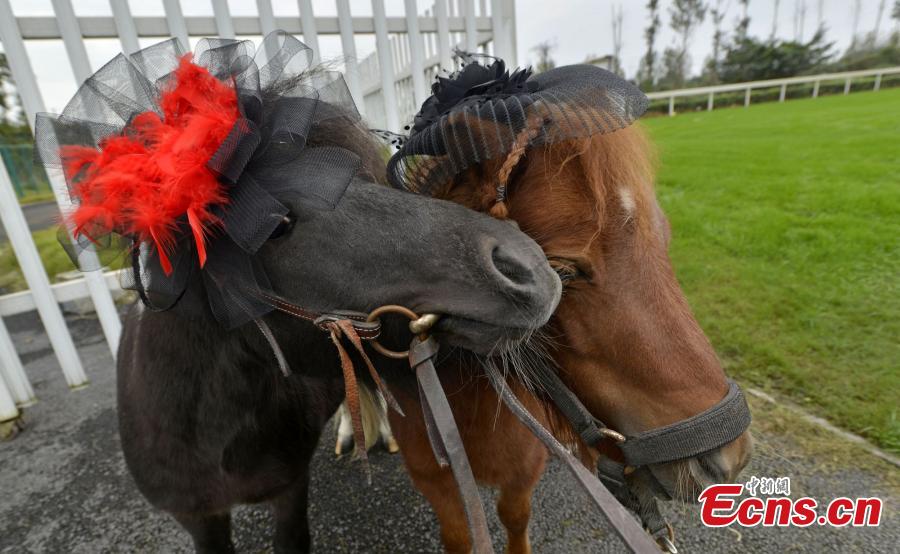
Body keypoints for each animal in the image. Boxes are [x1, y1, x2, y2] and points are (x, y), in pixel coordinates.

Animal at [386, 118, 752, 548]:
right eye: (562, 272)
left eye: (664, 238)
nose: (728, 460)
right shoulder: (438, 485)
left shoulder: (523, 474)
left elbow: (516, 517)